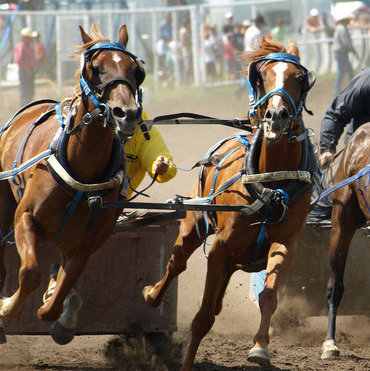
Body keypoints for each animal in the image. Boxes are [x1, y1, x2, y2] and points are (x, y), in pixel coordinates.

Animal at [0, 24, 144, 326]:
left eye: (135, 70)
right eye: (95, 68)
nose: (127, 114)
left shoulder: (84, 246)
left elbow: (55, 303)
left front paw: (58, 307)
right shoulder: (24, 217)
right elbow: (30, 272)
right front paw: (7, 307)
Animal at [143, 37, 316, 370]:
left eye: (300, 77)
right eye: (262, 76)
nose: (277, 116)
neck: (270, 183)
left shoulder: (285, 244)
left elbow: (268, 297)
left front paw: (260, 348)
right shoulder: (220, 249)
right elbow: (201, 319)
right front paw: (186, 364)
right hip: (194, 226)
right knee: (176, 263)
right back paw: (152, 294)